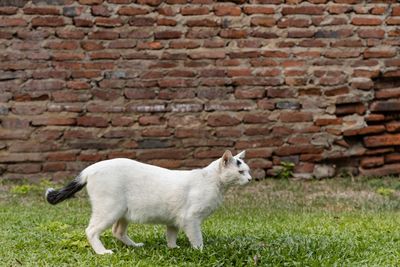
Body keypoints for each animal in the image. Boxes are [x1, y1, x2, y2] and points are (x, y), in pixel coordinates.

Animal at [45, 151, 252, 255]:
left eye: (248, 171)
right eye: (241, 172)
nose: (250, 179)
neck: (214, 182)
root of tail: (90, 168)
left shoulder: (175, 219)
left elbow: (171, 235)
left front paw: (173, 249)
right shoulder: (191, 219)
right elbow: (197, 238)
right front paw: (199, 251)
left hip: (123, 212)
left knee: (117, 231)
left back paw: (135, 246)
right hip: (110, 209)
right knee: (91, 230)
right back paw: (102, 252)